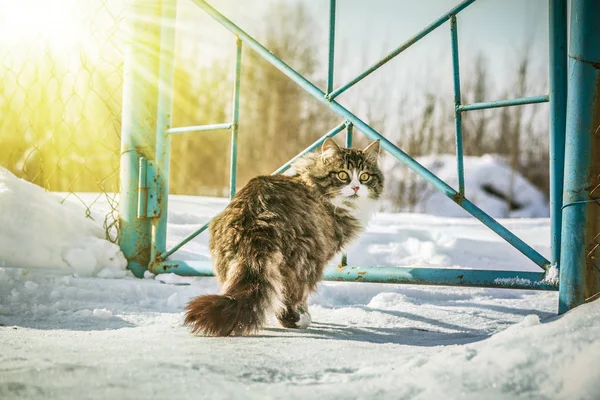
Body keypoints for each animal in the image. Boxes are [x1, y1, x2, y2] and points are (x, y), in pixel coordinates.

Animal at [184, 139, 384, 336]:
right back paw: (300, 320)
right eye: (343, 175)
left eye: (365, 177)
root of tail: (255, 224)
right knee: (290, 298)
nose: (356, 187)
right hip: (307, 260)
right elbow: (300, 299)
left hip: (227, 261)